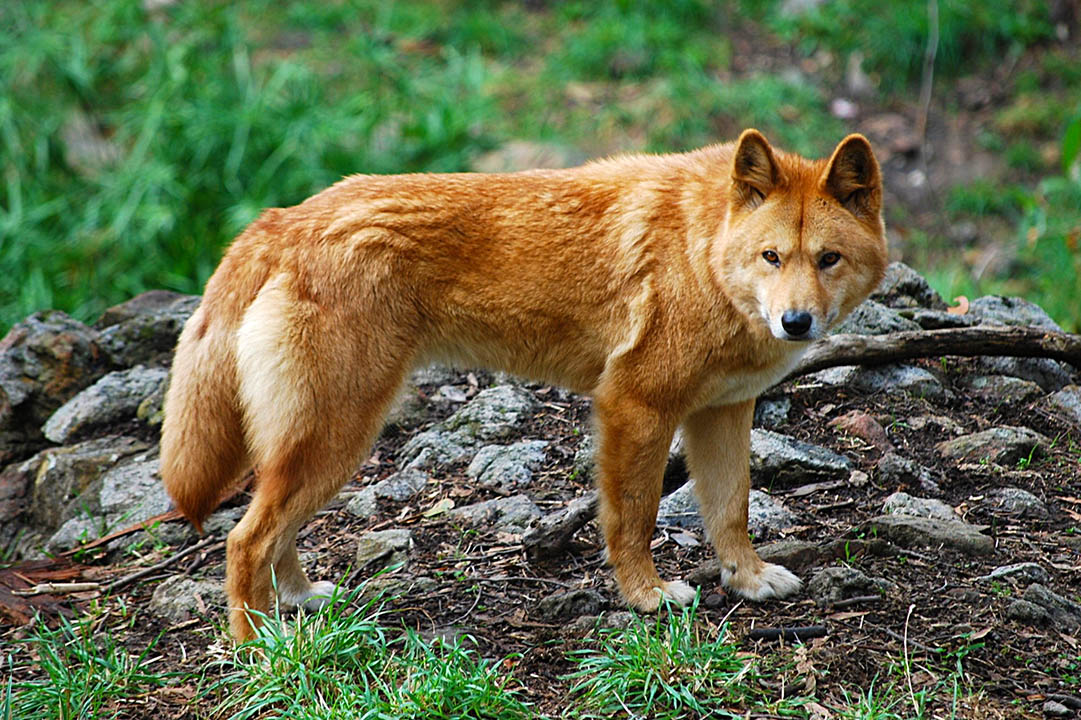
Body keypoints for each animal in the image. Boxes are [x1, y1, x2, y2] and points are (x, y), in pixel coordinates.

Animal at [159, 129, 886, 640]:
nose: (795, 322)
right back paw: (262, 646)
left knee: (272, 533)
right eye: (772, 257)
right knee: (244, 540)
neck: (701, 251)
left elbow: (731, 510)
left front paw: (748, 579)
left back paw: (303, 602)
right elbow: (634, 518)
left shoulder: (725, 412)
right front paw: (645, 596)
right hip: (337, 436)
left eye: (828, 258)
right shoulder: (635, 408)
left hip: (321, 444)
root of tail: (284, 217)